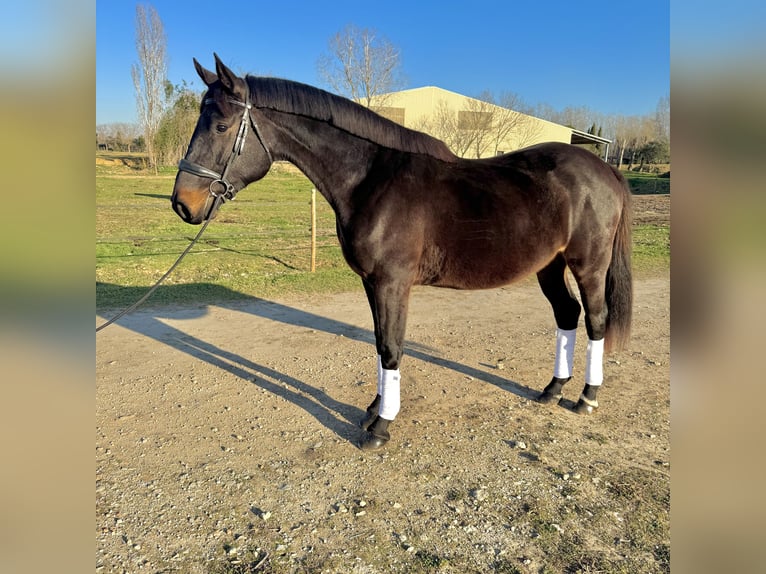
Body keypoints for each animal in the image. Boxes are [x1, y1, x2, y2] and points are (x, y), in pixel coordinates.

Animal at [174, 56, 636, 454]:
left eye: (220, 125)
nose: (183, 204)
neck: (370, 179)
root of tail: (605, 169)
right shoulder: (371, 282)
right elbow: (380, 343)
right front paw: (373, 411)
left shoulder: (392, 282)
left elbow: (392, 347)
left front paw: (381, 427)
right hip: (549, 265)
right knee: (567, 314)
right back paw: (553, 389)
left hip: (588, 265)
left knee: (595, 320)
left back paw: (586, 397)